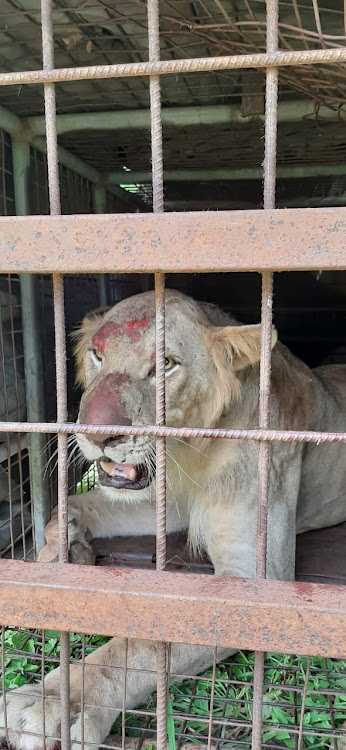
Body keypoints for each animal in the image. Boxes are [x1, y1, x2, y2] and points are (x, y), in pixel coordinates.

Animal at [0, 290, 346, 750]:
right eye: (97, 354)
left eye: (165, 363)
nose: (96, 434)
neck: (189, 446)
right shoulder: (170, 503)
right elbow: (76, 503)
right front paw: (63, 545)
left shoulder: (255, 578)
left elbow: (147, 636)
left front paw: (55, 703)